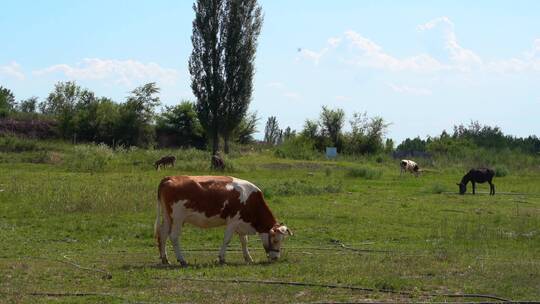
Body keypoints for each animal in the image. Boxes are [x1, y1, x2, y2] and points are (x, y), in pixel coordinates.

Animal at [154, 176, 294, 266]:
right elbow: (227, 240)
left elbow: (244, 241)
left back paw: (165, 259)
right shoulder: (233, 221)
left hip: (168, 217)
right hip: (178, 217)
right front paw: (221, 259)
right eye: (275, 240)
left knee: (163, 233)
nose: (276, 257)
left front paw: (248, 258)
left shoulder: (241, 223)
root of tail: (169, 178)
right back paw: (182, 260)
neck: (250, 199)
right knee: (173, 236)